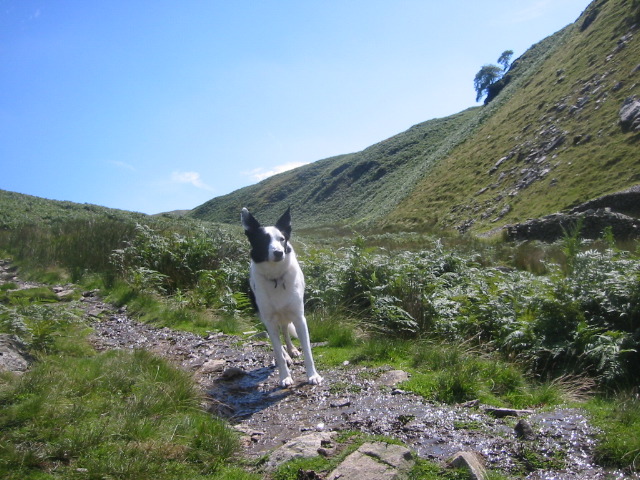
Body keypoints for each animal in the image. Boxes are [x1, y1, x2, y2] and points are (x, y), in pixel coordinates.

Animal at [240, 206, 322, 386]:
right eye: (263, 240)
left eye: (282, 239)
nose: (278, 253)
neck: (276, 277)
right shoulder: (269, 320)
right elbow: (277, 350)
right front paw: (285, 376)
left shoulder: (299, 318)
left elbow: (308, 351)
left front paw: (313, 375)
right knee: (276, 339)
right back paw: (286, 355)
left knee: (284, 329)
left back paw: (291, 350)